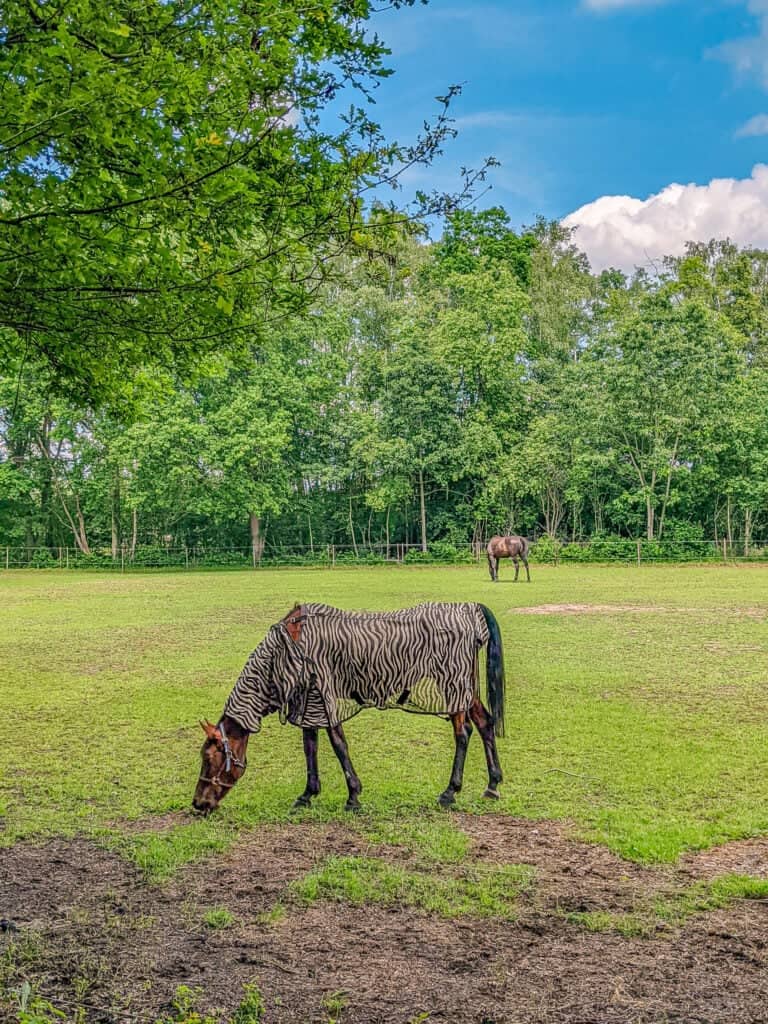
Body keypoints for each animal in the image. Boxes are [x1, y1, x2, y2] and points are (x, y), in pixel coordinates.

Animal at [192, 598, 505, 815]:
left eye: (209, 758)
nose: (198, 803)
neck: (283, 654)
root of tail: (471, 608)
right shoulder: (309, 702)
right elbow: (310, 746)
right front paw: (308, 794)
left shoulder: (323, 698)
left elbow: (338, 745)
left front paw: (353, 796)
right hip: (466, 690)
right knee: (485, 724)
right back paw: (492, 785)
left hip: (453, 687)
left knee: (463, 733)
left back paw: (450, 792)